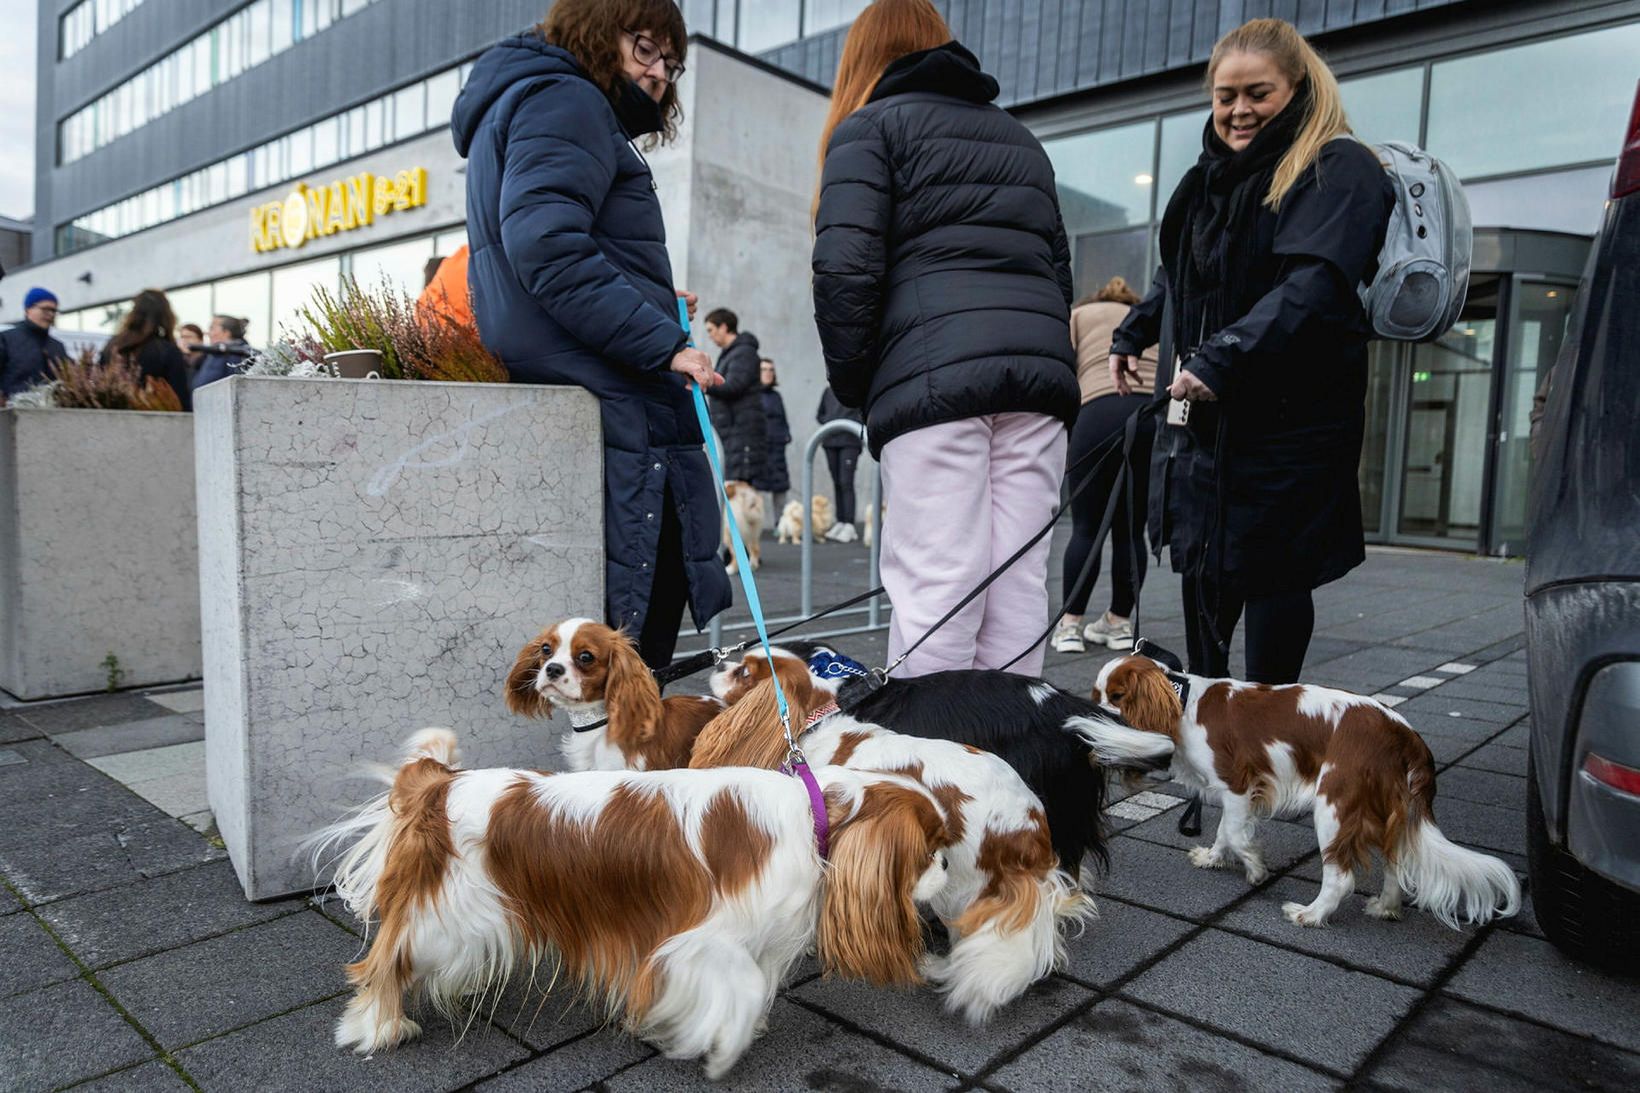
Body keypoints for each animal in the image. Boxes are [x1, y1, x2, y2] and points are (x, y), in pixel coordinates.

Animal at [1095, 656, 1515, 925]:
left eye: (1117, 697)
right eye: (1097, 695)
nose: (1095, 713)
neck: (1182, 699)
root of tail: (1403, 733)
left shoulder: (1238, 785)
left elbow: (1232, 831)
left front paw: (1254, 867)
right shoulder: (1237, 792)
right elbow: (1223, 833)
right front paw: (1214, 858)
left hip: (1334, 806)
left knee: (1340, 876)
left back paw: (1310, 915)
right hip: (1381, 811)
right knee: (1396, 864)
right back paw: (1385, 907)